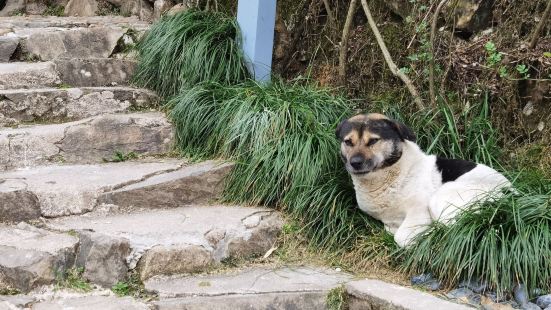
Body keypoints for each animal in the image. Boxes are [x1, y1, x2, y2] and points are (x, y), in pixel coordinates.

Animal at [336, 114, 512, 247]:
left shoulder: (419, 211)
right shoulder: (388, 221)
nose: (355, 163)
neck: (394, 174)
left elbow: (401, 237)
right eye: (348, 142)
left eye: (373, 141)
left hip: (440, 197)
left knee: (451, 228)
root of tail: (512, 193)